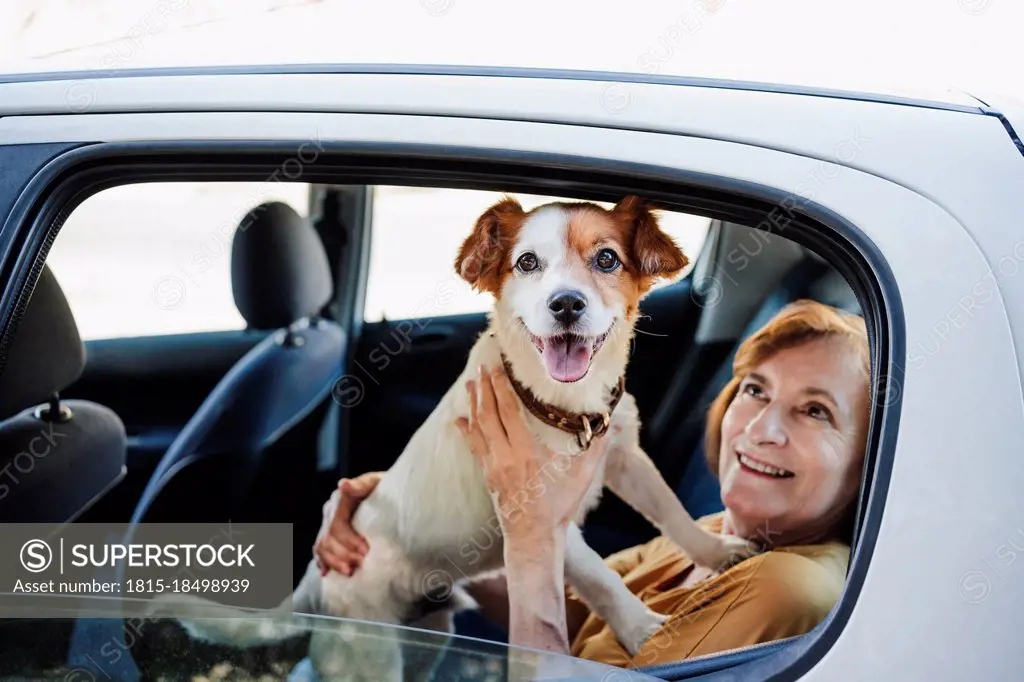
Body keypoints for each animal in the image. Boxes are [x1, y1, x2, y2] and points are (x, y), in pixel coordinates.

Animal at [157, 193, 753, 675]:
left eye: (606, 258)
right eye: (527, 263)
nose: (565, 304)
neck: (562, 409)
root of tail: (318, 580)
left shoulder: (625, 456)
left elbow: (673, 513)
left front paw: (717, 551)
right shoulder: (542, 514)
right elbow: (602, 578)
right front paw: (645, 629)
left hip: (431, 635)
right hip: (370, 655)